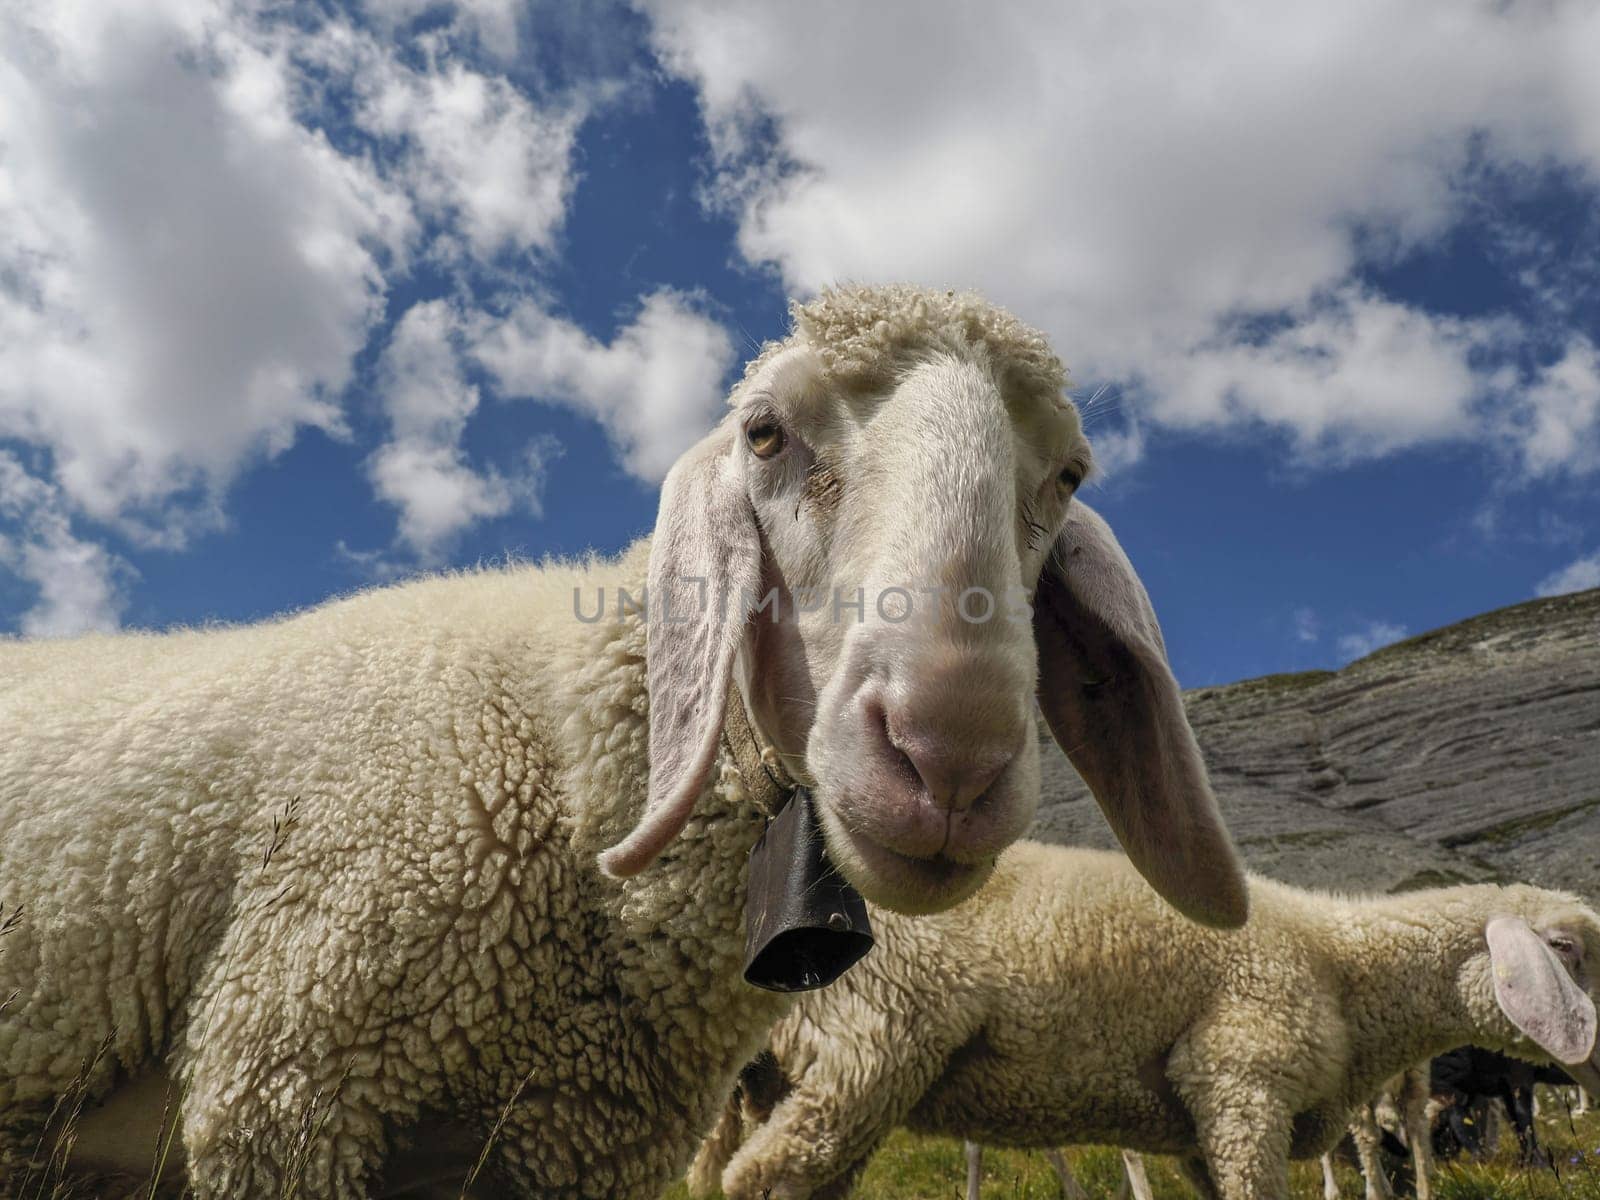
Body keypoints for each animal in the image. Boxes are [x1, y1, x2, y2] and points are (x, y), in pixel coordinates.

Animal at [697, 844, 1600, 1200]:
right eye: (1566, 950)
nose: (1593, 1060)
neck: (1342, 963)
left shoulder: (1207, 1130)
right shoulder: (1240, 1083)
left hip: (818, 1079)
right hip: (876, 1042)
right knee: (757, 1177)